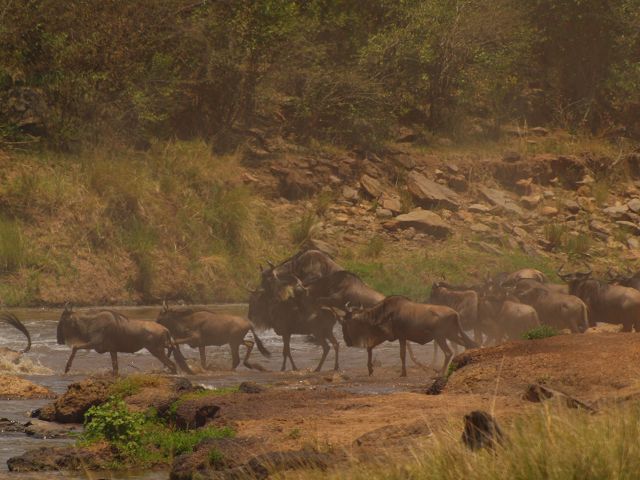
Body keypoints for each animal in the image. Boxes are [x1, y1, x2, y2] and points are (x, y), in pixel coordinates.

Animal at [57, 305, 191, 375]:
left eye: (62, 320)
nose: (59, 340)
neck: (90, 323)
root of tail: (165, 329)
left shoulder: (94, 344)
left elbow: (75, 347)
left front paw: (67, 368)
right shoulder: (112, 350)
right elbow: (115, 369)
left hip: (156, 350)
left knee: (172, 365)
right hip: (162, 347)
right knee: (172, 352)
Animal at [340, 296, 478, 377]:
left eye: (344, 321)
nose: (347, 342)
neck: (384, 313)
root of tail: (455, 313)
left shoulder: (395, 337)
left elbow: (402, 354)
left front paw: (403, 373)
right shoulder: (396, 337)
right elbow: (370, 348)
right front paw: (370, 370)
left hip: (440, 337)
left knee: (449, 352)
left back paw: (440, 372)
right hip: (451, 335)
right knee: (467, 345)